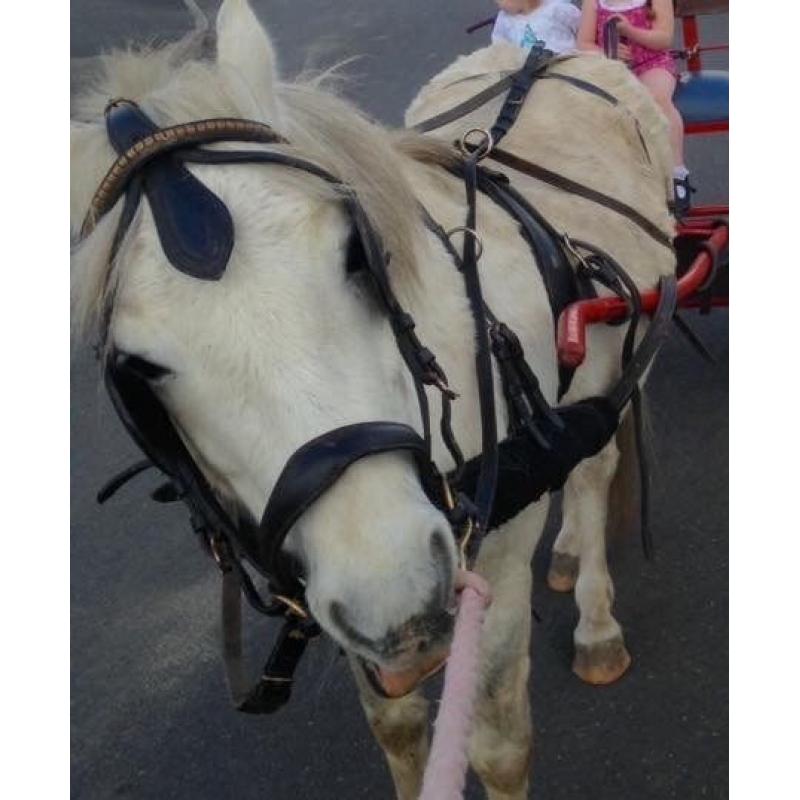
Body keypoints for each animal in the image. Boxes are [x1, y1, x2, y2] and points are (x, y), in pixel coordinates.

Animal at [71, 1, 675, 797]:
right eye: (138, 368)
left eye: (357, 256)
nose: (399, 586)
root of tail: (543, 56)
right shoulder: (337, 582)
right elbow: (397, 724)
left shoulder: (494, 555)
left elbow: (498, 741)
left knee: (593, 470)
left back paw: (596, 619)